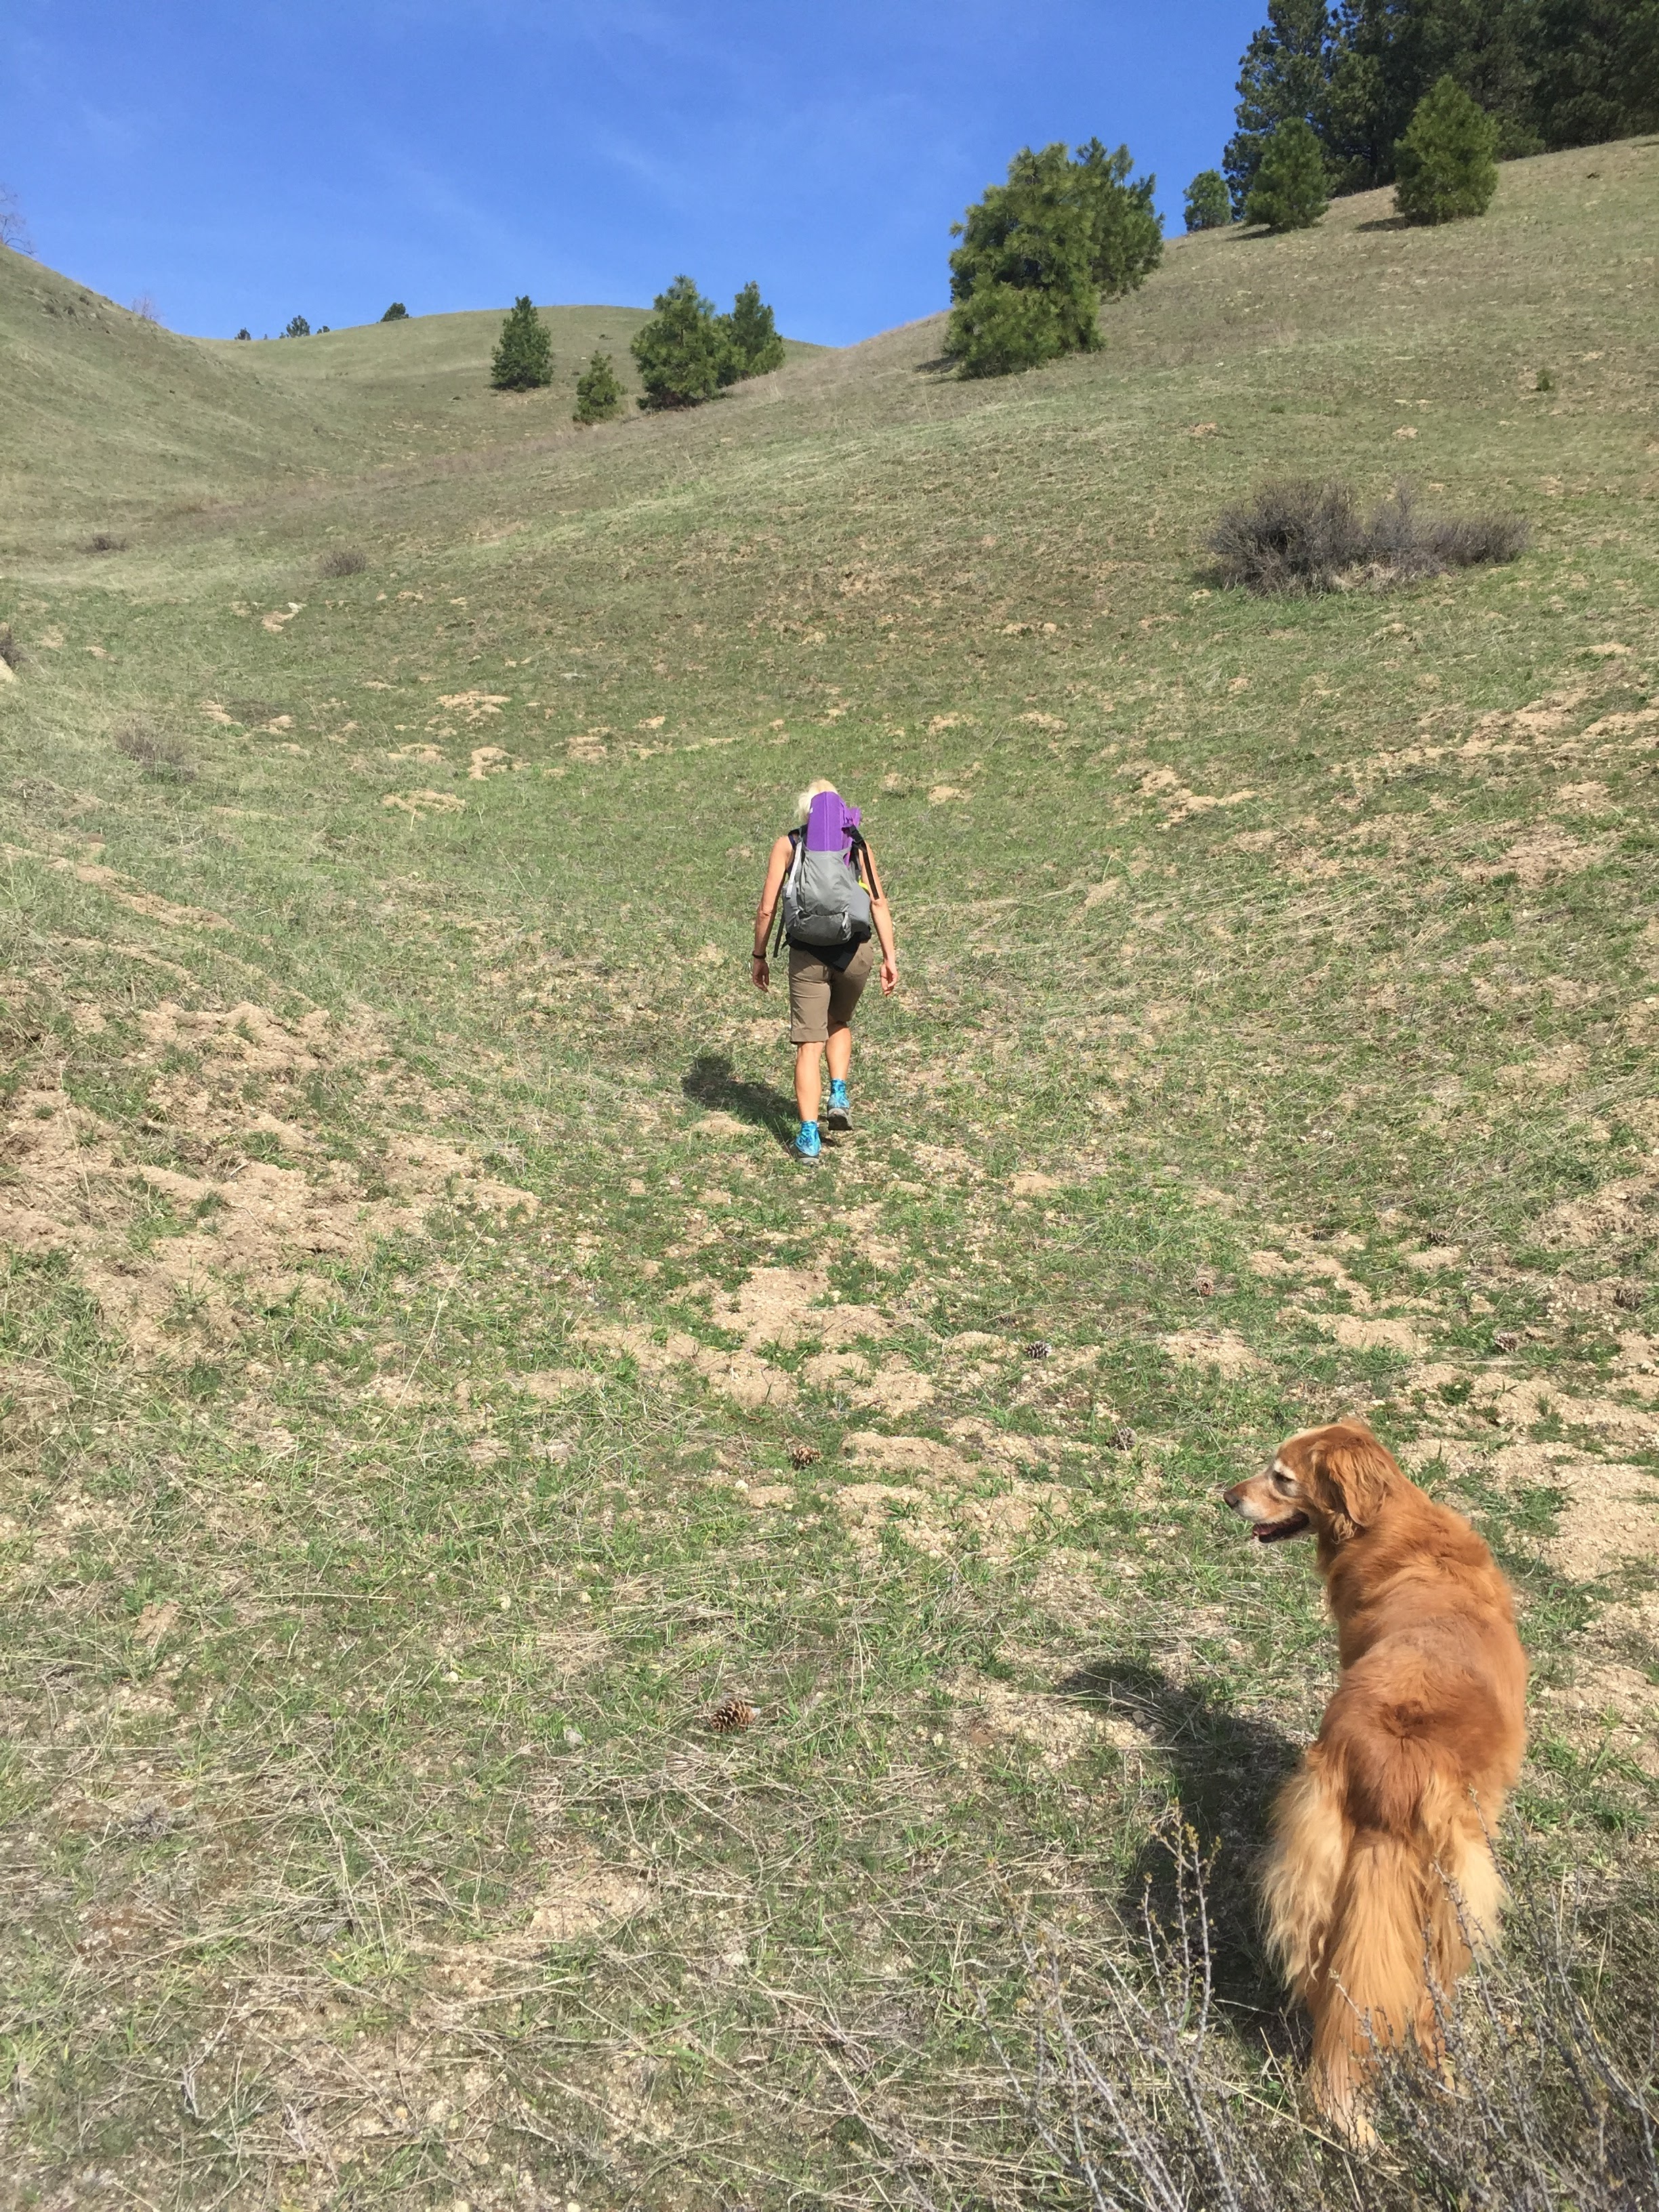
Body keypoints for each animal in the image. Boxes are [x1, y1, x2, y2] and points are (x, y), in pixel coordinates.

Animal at [1229, 1415, 1530, 2123]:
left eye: (1282, 1478)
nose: (1228, 1497)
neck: (1393, 1526)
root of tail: (1389, 1777)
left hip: (1319, 1871)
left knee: (1329, 1983)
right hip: (1457, 1888)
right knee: (1427, 1999)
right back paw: (1448, 2073)